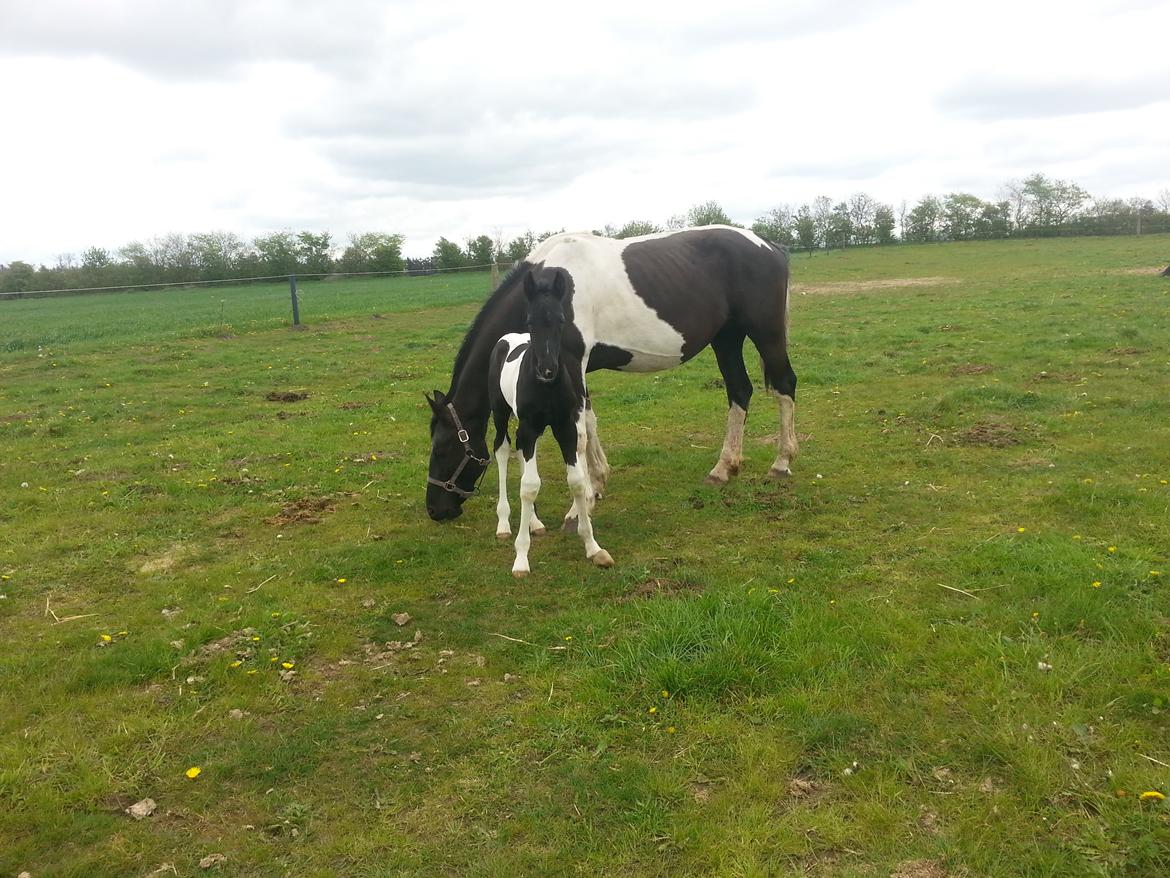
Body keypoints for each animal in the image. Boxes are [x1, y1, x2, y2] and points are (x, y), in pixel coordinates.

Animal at [426, 225, 798, 523]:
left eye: (442, 448)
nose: (436, 510)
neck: (550, 292)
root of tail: (768, 245)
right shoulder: (573, 372)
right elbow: (589, 423)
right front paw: (598, 483)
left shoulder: (571, 362)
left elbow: (578, 433)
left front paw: (579, 507)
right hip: (727, 338)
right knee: (739, 391)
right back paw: (724, 468)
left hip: (765, 333)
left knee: (784, 385)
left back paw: (781, 463)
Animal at [487, 270, 614, 576]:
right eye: (531, 321)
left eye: (561, 320)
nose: (547, 370)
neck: (546, 388)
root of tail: (507, 338)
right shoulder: (531, 427)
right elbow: (530, 486)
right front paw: (521, 558)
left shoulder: (564, 427)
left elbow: (577, 481)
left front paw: (593, 547)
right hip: (500, 413)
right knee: (502, 450)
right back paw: (504, 524)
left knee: (519, 452)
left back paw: (534, 523)